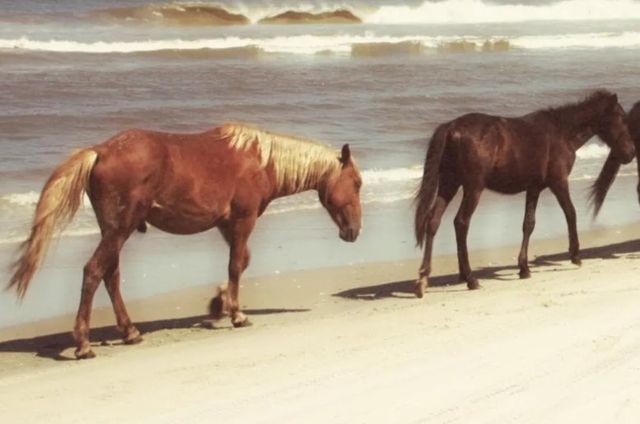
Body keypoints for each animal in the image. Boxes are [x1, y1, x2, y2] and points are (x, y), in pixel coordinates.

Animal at [8, 123, 363, 359]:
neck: (261, 161)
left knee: (110, 276)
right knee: (94, 272)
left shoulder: (227, 224)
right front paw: (236, 314)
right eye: (357, 183)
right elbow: (236, 265)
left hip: (113, 231)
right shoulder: (242, 220)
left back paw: (130, 332)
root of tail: (100, 151)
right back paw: (83, 344)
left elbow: (240, 263)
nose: (355, 231)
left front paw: (219, 303)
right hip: (119, 229)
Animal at [414, 90, 635, 298]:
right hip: (473, 188)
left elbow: (528, 224)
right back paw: (470, 279)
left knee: (433, 221)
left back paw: (424, 278)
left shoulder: (534, 188)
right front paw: (575, 256)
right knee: (461, 223)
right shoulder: (559, 182)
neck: (561, 132)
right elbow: (570, 213)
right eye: (621, 118)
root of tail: (452, 127)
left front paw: (524, 268)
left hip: (449, 184)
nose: (631, 153)